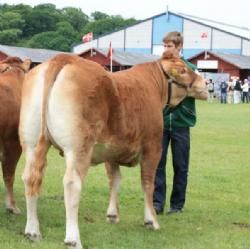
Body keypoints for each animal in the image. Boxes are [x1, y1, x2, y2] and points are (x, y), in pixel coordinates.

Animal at [19, 52, 207, 247]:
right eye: (183, 70)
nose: (206, 82)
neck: (154, 86)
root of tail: (62, 58)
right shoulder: (153, 147)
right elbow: (148, 183)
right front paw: (151, 221)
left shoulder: (111, 151)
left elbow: (114, 180)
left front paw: (112, 214)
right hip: (78, 148)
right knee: (71, 183)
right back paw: (73, 239)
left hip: (32, 142)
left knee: (30, 178)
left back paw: (32, 231)